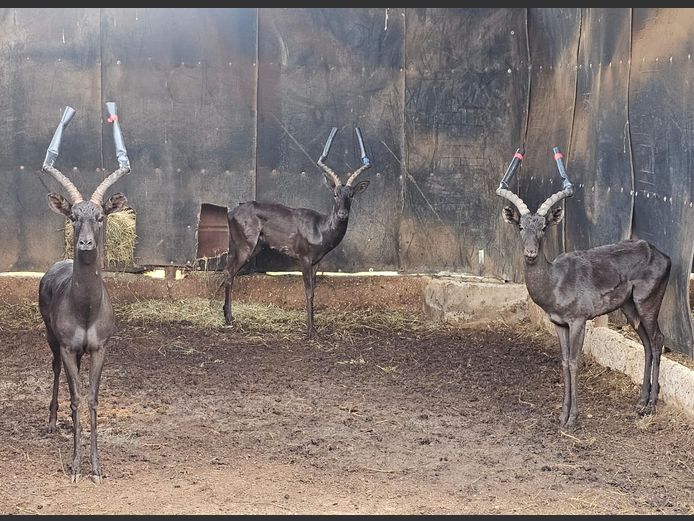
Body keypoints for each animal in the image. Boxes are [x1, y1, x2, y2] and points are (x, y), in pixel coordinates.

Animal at [223, 127, 372, 339]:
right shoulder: (304, 259)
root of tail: (231, 212)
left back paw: (229, 316)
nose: (342, 214)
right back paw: (228, 320)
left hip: (248, 247)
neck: (320, 228)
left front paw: (314, 328)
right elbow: (308, 291)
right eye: (335, 194)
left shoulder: (317, 262)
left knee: (229, 272)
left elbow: (314, 291)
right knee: (229, 273)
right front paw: (311, 331)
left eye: (351, 195)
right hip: (245, 247)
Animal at [497, 147, 671, 428]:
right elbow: (564, 361)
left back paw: (651, 405)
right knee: (646, 342)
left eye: (544, 227)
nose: (530, 253)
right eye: (521, 226)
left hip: (647, 302)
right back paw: (641, 402)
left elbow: (575, 361)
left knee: (658, 339)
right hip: (629, 307)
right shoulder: (559, 323)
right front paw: (561, 415)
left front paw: (572, 419)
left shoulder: (579, 320)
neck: (555, 282)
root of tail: (663, 255)